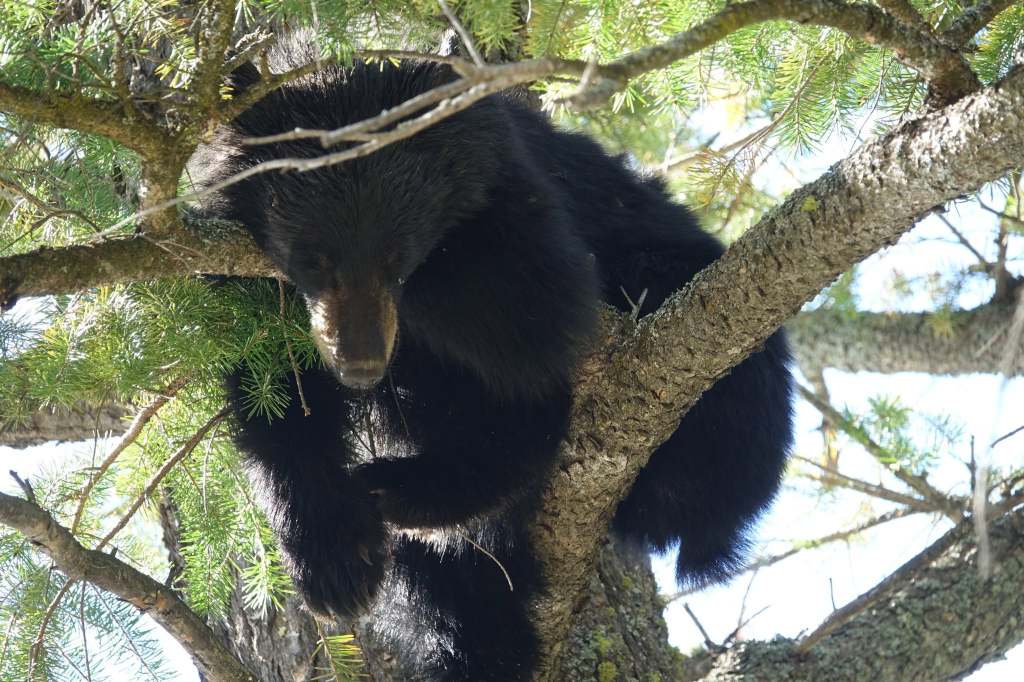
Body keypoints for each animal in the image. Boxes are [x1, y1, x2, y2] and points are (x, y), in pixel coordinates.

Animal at [191, 51, 794, 681]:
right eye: (314, 259)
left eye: (396, 258)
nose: (360, 363)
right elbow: (275, 398)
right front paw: (336, 560)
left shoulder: (516, 190)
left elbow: (533, 308)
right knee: (439, 583)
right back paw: (468, 639)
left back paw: (411, 487)